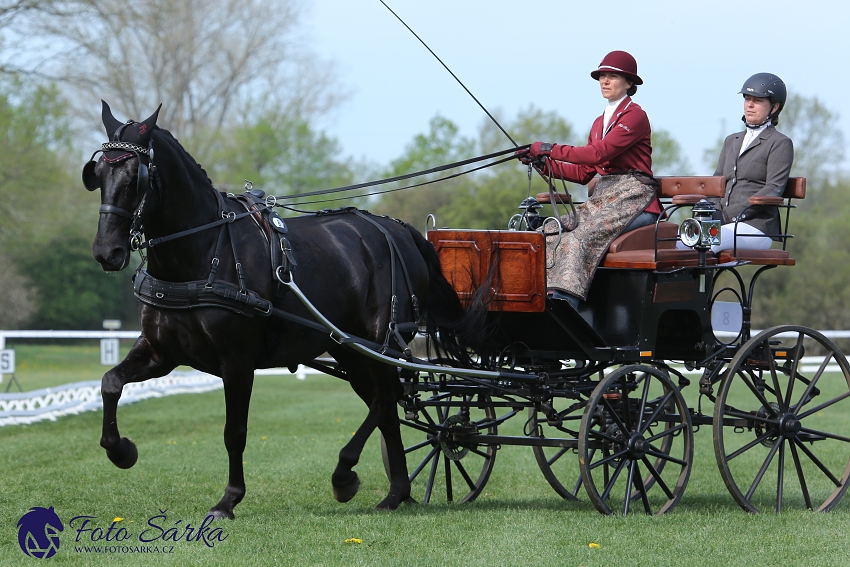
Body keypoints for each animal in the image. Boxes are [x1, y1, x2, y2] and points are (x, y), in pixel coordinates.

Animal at [83, 102, 470, 520]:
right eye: (98, 173)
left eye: (136, 177)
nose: (106, 252)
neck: (202, 252)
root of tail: (399, 230)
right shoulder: (161, 353)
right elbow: (110, 383)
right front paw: (122, 451)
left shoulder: (237, 361)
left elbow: (234, 432)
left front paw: (229, 499)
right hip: (349, 350)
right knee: (384, 405)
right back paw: (397, 491)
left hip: (381, 343)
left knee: (385, 399)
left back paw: (347, 474)